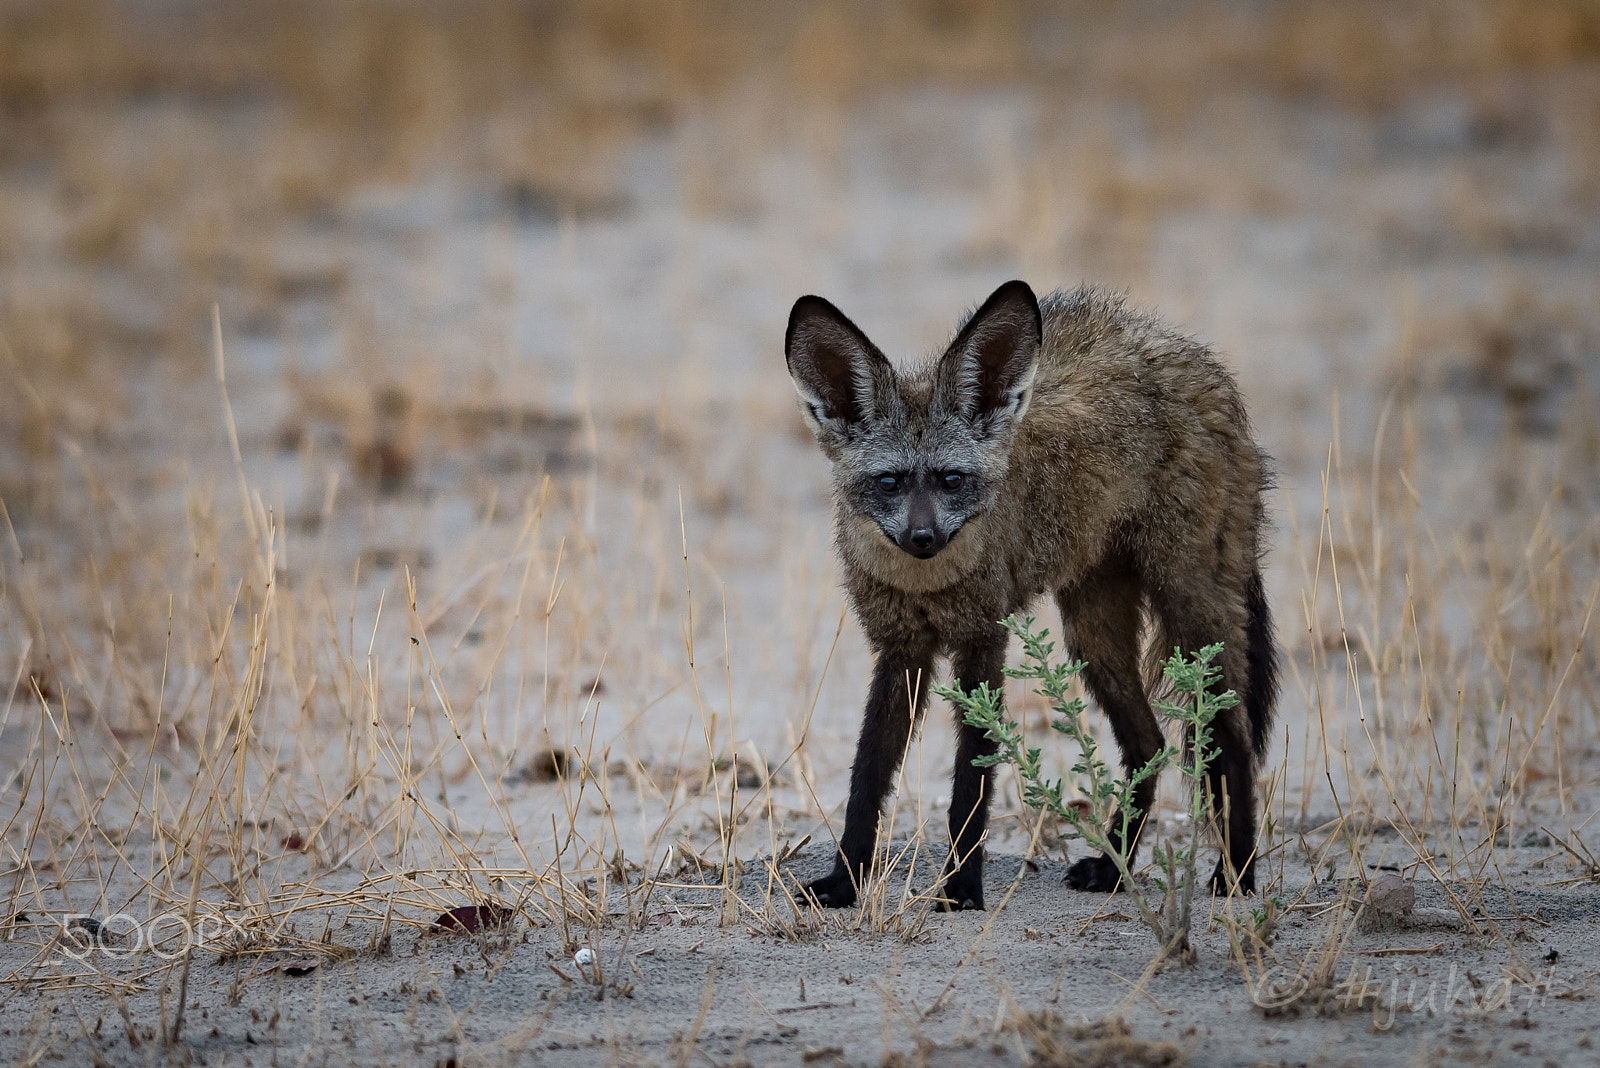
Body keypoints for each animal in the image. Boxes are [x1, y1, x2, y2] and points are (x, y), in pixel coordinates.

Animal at [784, 278, 1273, 908]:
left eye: (951, 480)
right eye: (890, 482)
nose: (923, 539)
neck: (930, 587)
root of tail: (1191, 354)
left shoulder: (981, 643)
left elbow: (971, 782)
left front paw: (962, 888)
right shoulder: (900, 652)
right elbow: (866, 779)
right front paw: (845, 882)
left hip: (1189, 613)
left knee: (1230, 739)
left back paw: (1235, 875)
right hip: (1094, 638)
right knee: (1150, 743)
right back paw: (1113, 869)